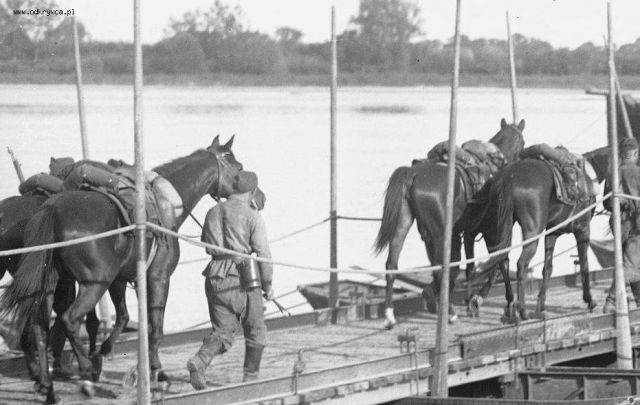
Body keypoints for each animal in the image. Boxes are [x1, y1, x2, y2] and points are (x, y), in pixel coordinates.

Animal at [0, 135, 251, 403]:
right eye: (238, 167)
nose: (257, 195)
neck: (164, 202)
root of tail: (50, 209)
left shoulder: (121, 280)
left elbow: (125, 318)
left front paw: (105, 355)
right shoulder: (158, 277)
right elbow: (154, 328)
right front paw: (156, 373)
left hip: (48, 285)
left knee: (39, 328)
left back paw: (49, 387)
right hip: (93, 284)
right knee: (68, 319)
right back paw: (84, 375)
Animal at [373, 118, 525, 329]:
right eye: (523, 143)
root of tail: (413, 174)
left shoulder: (467, 232)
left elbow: (468, 268)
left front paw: (469, 301)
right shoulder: (491, 230)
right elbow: (500, 261)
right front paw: (507, 303)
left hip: (405, 226)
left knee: (392, 265)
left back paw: (391, 315)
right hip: (438, 236)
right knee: (440, 270)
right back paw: (450, 312)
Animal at [467, 150, 599, 322]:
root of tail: (510, 177)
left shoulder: (552, 233)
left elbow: (547, 268)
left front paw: (541, 304)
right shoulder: (582, 230)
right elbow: (584, 265)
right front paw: (589, 299)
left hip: (502, 228)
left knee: (503, 261)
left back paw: (510, 305)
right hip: (533, 232)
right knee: (521, 264)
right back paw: (522, 310)